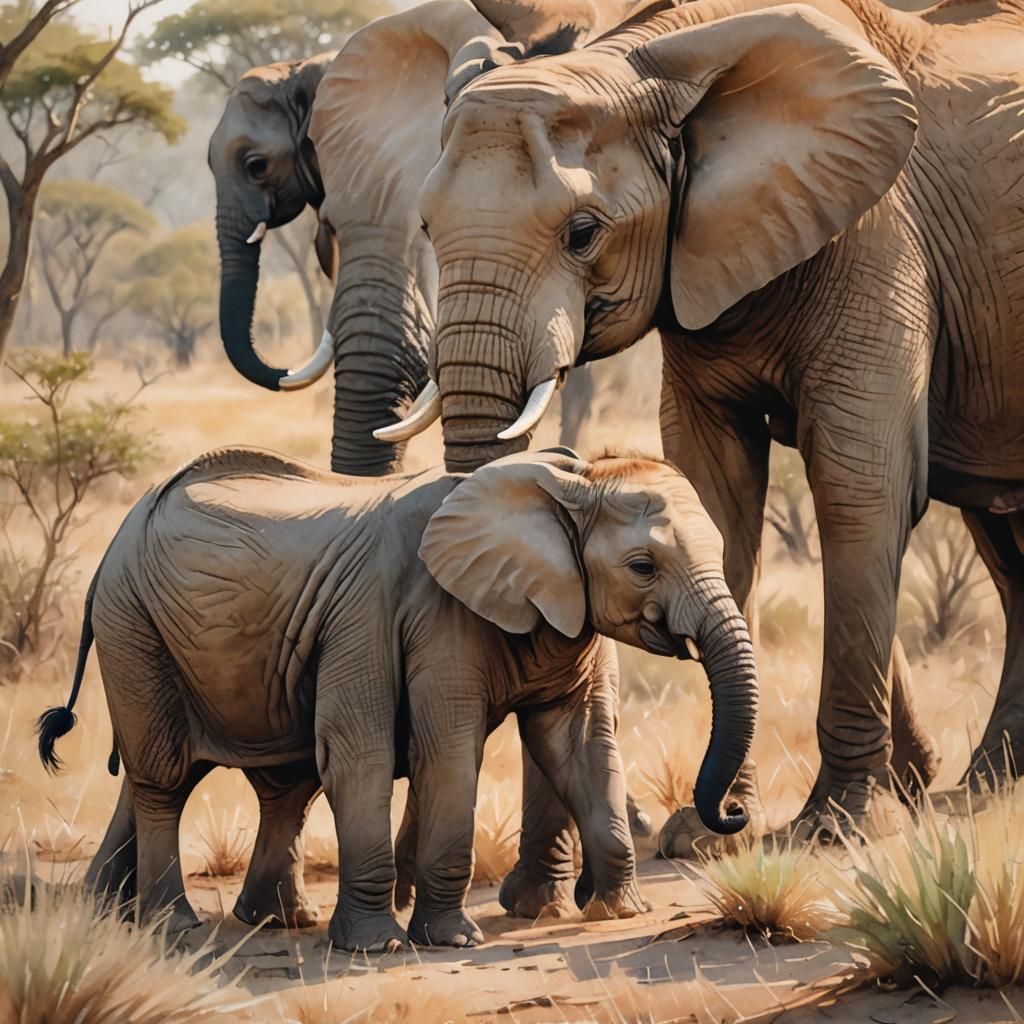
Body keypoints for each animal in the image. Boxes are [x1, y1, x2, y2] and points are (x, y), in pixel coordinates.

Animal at [37, 447, 758, 950]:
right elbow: (437, 752)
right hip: (133, 625)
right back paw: (172, 927)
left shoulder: (566, 616)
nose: (732, 815)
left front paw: (615, 911)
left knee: (253, 781)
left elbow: (580, 744)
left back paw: (224, 918)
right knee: (166, 775)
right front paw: (425, 944)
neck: (569, 479)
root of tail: (113, 545)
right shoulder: (429, 616)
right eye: (643, 567)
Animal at [362, 0, 1023, 844]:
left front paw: (837, 826)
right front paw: (702, 839)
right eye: (425, 227)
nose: (724, 815)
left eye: (583, 233)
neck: (658, 59)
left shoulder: (879, 241)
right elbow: (714, 488)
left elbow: (859, 488)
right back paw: (990, 781)